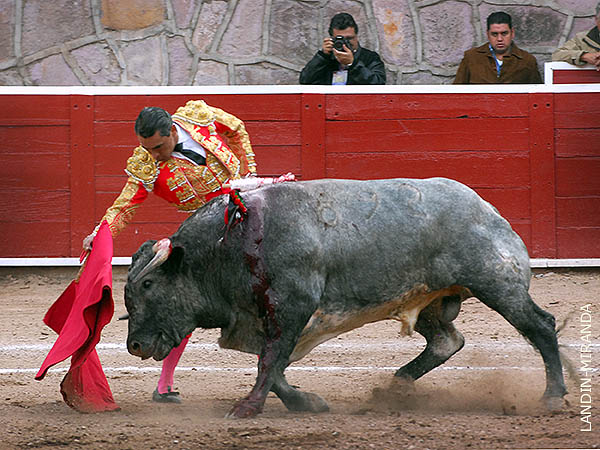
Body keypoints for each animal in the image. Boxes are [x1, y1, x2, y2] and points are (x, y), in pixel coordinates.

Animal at [125, 178, 568, 418]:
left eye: (148, 286)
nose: (134, 346)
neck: (230, 242)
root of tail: (487, 209)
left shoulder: (292, 306)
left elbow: (270, 362)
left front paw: (247, 408)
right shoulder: (268, 316)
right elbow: (275, 366)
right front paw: (306, 402)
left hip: (498, 284)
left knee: (541, 326)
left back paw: (552, 396)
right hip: (429, 298)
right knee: (447, 340)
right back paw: (394, 387)